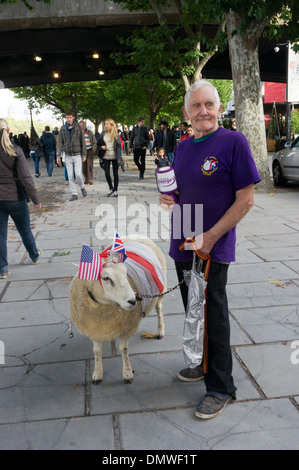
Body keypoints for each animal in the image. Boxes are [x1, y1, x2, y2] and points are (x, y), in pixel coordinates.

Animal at [70, 237, 168, 384]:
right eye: (105, 278)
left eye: (126, 273)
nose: (133, 300)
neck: (101, 312)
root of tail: (136, 236)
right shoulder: (93, 329)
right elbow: (96, 351)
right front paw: (97, 374)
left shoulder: (127, 327)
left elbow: (124, 349)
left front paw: (127, 373)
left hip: (160, 292)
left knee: (159, 308)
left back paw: (160, 331)